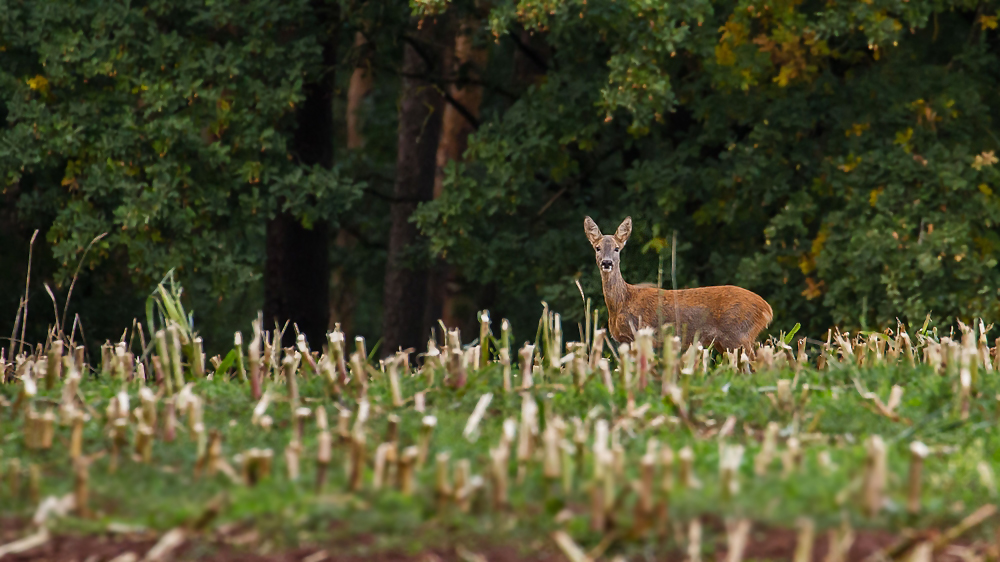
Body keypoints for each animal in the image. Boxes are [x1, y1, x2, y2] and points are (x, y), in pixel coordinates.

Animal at [584, 214, 776, 354]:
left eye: (617, 248)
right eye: (597, 248)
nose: (607, 263)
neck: (622, 301)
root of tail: (767, 309)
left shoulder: (640, 334)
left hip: (739, 335)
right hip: (727, 342)